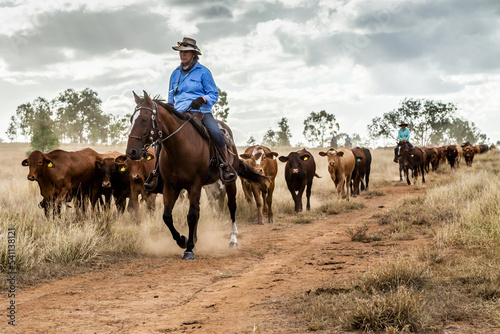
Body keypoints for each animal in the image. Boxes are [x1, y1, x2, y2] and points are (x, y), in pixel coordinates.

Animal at [126, 91, 266, 260]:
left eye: (144, 119)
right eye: (131, 119)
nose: (131, 152)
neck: (179, 147)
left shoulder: (194, 185)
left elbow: (192, 215)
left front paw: (189, 249)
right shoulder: (171, 187)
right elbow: (167, 217)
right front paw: (184, 240)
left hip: (229, 182)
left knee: (231, 206)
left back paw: (233, 240)